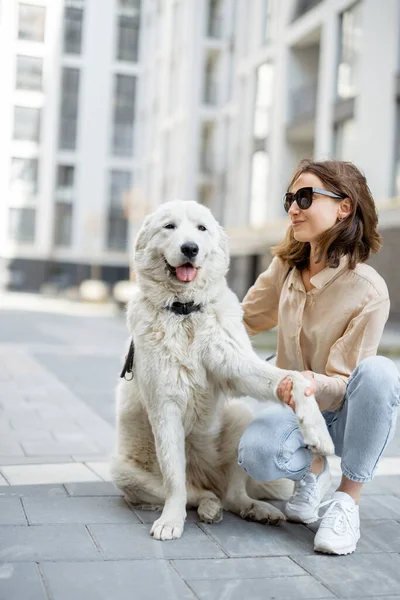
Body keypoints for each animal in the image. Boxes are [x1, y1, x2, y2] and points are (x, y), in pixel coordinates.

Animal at [110, 200, 334, 540]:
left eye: (201, 228)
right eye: (169, 227)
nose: (190, 248)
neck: (185, 312)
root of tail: (207, 477)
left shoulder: (237, 365)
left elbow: (294, 378)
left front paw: (317, 431)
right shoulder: (164, 406)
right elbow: (175, 478)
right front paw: (170, 521)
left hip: (241, 417)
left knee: (233, 495)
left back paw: (258, 509)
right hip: (123, 472)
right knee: (197, 492)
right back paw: (208, 507)